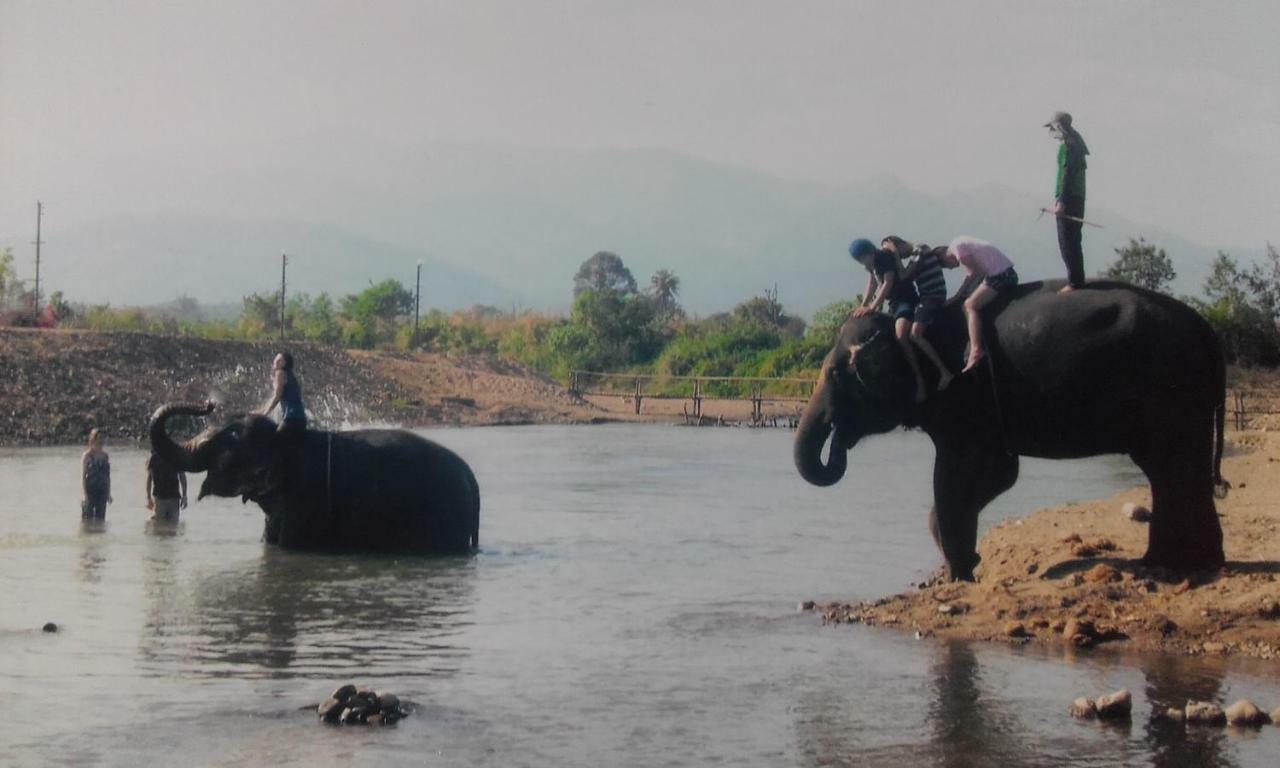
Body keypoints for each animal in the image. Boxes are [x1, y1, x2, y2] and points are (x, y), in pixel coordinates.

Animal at [793, 279, 1223, 578]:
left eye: (835, 374)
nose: (839, 438)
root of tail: (1209, 332)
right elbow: (999, 474)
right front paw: (969, 562)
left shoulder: (965, 395)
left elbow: (959, 473)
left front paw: (959, 573)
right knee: (1177, 471)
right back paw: (1188, 563)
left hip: (1169, 393)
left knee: (1170, 468)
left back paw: (1173, 565)